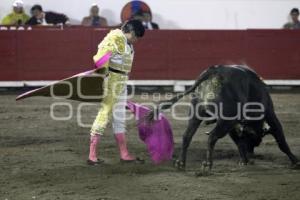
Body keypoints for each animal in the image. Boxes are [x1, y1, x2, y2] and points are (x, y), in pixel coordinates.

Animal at [151, 65, 298, 171]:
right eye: (255, 140)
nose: (251, 156)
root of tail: (214, 70)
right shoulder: (269, 114)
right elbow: (281, 142)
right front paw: (296, 161)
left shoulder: (233, 126)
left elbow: (239, 143)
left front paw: (244, 161)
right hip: (225, 120)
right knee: (211, 137)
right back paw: (207, 164)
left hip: (196, 113)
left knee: (187, 135)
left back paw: (181, 163)